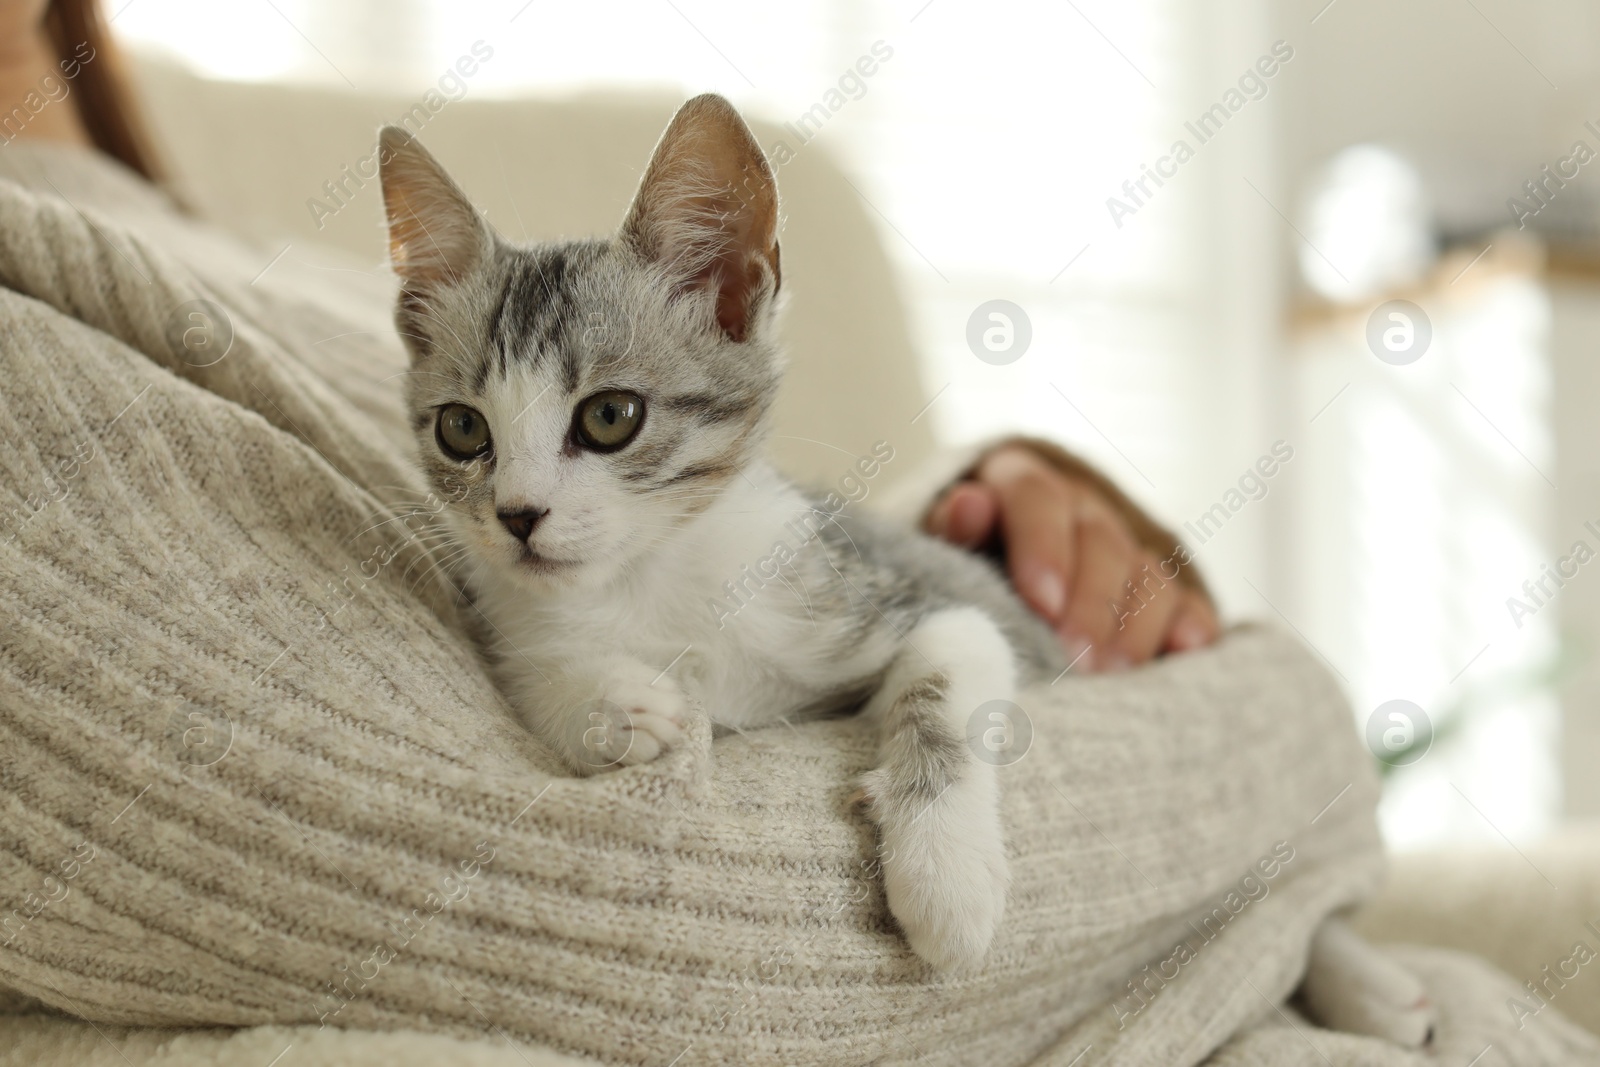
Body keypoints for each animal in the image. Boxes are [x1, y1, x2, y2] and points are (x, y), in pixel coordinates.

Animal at [384, 91, 1440, 1036]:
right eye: (462, 429)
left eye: (610, 416)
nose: (518, 515)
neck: (654, 581)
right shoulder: (525, 614)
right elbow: (544, 667)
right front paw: (613, 704)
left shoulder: (935, 598)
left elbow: (946, 678)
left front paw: (946, 875)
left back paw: (1375, 986)